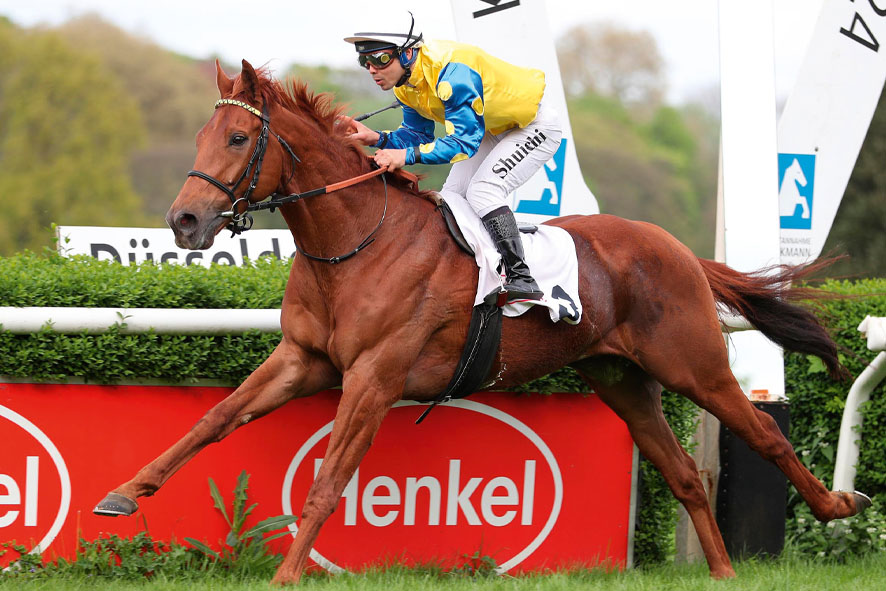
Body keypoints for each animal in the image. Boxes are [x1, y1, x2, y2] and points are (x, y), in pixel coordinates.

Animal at [95, 61, 868, 584]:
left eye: (234, 137)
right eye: (203, 134)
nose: (184, 221)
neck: (355, 243)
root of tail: (677, 248)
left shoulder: (374, 377)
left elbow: (327, 479)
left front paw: (286, 574)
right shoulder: (302, 358)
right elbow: (213, 418)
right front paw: (124, 493)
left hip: (694, 363)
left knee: (765, 432)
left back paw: (835, 502)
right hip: (622, 378)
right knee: (681, 472)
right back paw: (723, 571)